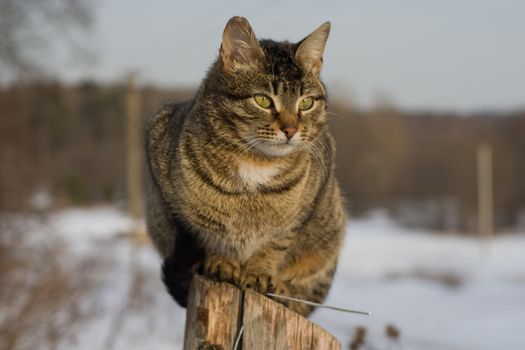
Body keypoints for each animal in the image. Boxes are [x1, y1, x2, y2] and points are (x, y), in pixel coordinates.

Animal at [145, 15, 346, 318]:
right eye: (263, 100)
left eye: (306, 103)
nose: (291, 129)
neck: (256, 163)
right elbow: (214, 236)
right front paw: (223, 263)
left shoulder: (303, 210)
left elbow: (275, 244)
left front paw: (259, 273)